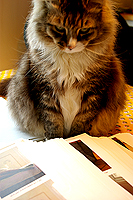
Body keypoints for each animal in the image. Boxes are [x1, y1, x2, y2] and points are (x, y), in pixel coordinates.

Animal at [7, 0, 125, 139]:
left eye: (84, 30)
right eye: (59, 28)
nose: (70, 46)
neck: (70, 59)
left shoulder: (94, 92)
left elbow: (81, 122)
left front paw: (77, 137)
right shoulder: (45, 91)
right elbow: (53, 122)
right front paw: (55, 140)